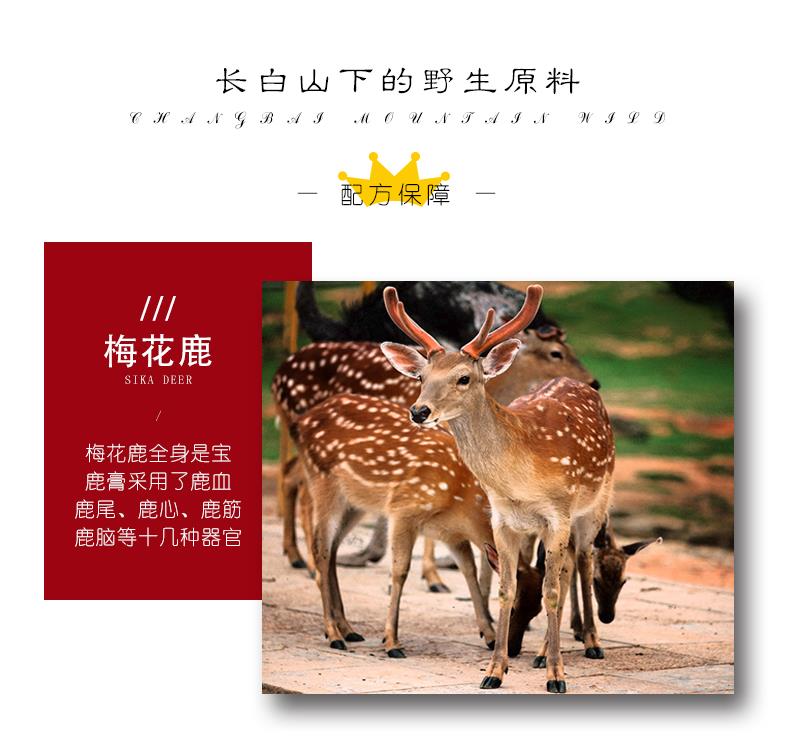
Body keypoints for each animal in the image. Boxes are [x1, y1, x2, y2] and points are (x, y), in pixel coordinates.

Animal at [291, 392, 545, 657]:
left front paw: (490, 635)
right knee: (321, 550)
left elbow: (469, 572)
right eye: (511, 606)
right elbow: (400, 571)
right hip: (323, 482)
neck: (462, 501)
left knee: (332, 549)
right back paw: (333, 634)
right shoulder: (404, 509)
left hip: (355, 503)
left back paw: (348, 629)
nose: (513, 649)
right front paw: (391, 642)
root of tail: (299, 423)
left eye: (537, 611)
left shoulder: (452, 535)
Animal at [380, 284, 617, 693]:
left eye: (464, 378)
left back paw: (590, 642)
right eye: (422, 377)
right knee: (569, 566)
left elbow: (550, 590)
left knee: (584, 563)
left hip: (594, 505)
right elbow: (507, 589)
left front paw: (557, 677)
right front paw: (494, 670)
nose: (419, 411)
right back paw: (544, 651)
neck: (518, 478)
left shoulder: (558, 514)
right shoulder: (504, 520)